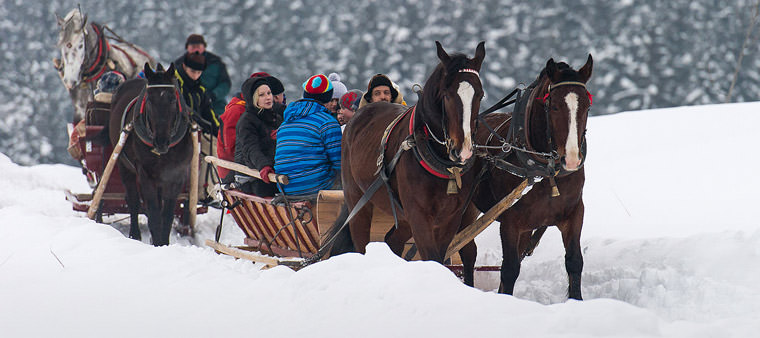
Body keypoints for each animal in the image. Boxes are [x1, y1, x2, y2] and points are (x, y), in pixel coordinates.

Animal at [109, 62, 193, 246]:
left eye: (172, 99)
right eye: (149, 99)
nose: (161, 141)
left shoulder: (177, 175)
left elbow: (166, 215)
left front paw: (163, 242)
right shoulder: (145, 174)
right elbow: (154, 213)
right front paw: (158, 243)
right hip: (124, 165)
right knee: (133, 200)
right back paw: (135, 234)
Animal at [336, 41, 484, 264]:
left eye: (480, 94)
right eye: (447, 94)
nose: (463, 149)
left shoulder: (451, 218)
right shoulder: (419, 215)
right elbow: (431, 257)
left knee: (392, 240)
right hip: (357, 199)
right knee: (361, 242)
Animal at [470, 54, 592, 298]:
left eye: (587, 105)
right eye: (554, 106)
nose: (571, 159)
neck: (545, 170)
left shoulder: (574, 212)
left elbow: (574, 262)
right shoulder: (510, 220)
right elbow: (509, 269)